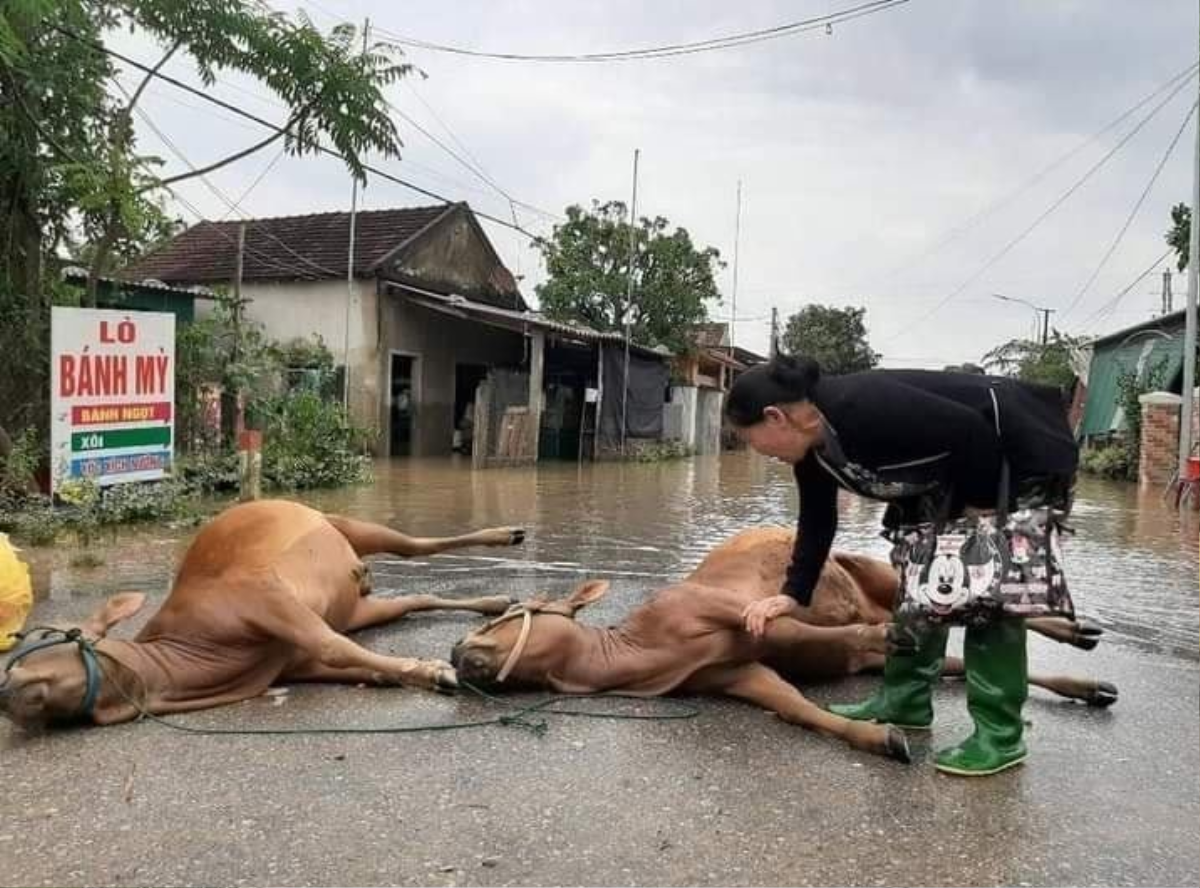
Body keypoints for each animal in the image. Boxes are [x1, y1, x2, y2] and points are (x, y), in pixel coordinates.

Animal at [2, 499, 523, 729]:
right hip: (358, 606)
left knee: (416, 546)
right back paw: (496, 602)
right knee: (415, 597)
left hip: (345, 525)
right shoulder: (294, 662)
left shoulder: (264, 597)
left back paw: (506, 535)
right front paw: (419, 671)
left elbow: (332, 646)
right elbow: (357, 665)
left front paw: (437, 670)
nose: (6, 690)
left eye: (40, 641)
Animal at [451, 528, 1113, 763]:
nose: (457, 653)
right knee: (952, 654)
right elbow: (796, 707)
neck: (644, 653)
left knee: (971, 606)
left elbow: (824, 631)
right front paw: (879, 737)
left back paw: (1073, 630)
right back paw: (1086, 684)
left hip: (873, 567)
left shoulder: (735, 612)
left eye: (504, 613)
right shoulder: (736, 676)